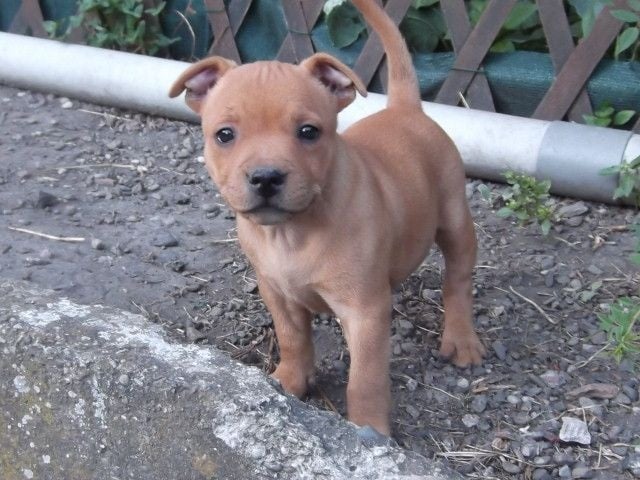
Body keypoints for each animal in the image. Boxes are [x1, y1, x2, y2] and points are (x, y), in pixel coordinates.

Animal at [169, 0, 485, 436]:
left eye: (308, 132)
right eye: (225, 135)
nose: (266, 177)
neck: (292, 232)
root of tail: (404, 107)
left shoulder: (365, 313)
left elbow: (365, 379)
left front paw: (369, 430)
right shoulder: (277, 293)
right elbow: (292, 339)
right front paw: (289, 381)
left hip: (455, 220)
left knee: (458, 280)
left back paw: (461, 339)